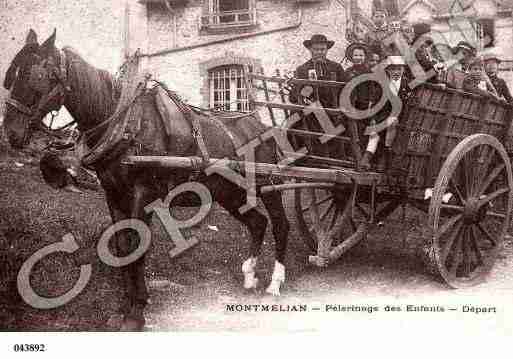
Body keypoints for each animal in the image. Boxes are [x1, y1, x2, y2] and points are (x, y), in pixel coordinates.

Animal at [3, 29, 288, 330]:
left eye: (36, 76)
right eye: (12, 75)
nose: (10, 133)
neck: (125, 124)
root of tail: (262, 126)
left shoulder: (144, 194)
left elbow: (137, 246)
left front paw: (137, 312)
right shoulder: (114, 194)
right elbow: (122, 245)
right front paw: (126, 305)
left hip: (269, 187)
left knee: (280, 225)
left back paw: (275, 283)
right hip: (229, 192)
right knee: (257, 223)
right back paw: (249, 277)